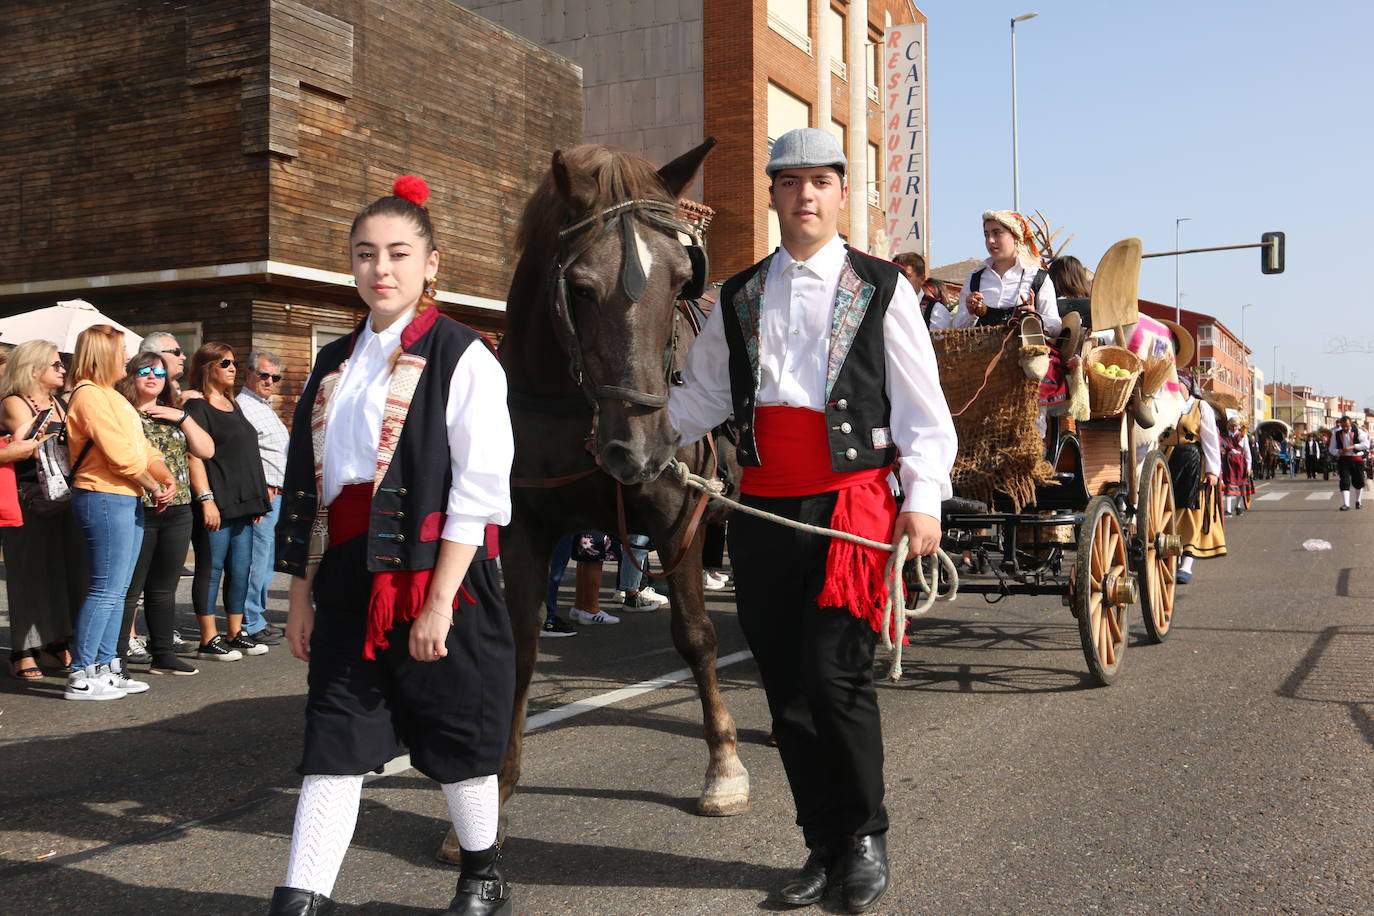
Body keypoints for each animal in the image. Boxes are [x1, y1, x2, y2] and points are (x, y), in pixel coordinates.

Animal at [472, 135, 752, 845]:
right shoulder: (525, 528)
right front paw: (496, 794)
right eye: (579, 288)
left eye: (681, 279)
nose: (643, 449)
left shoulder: (681, 514)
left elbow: (696, 636)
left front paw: (723, 766)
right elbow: (522, 648)